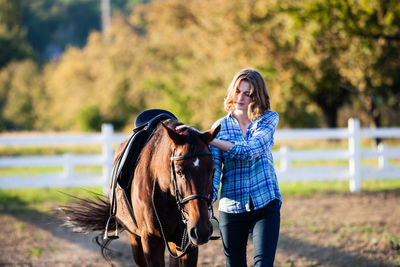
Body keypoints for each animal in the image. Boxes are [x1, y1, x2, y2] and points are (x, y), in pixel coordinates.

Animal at [61, 120, 220, 267]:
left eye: (213, 170)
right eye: (179, 171)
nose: (201, 230)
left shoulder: (187, 243)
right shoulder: (151, 240)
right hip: (135, 239)